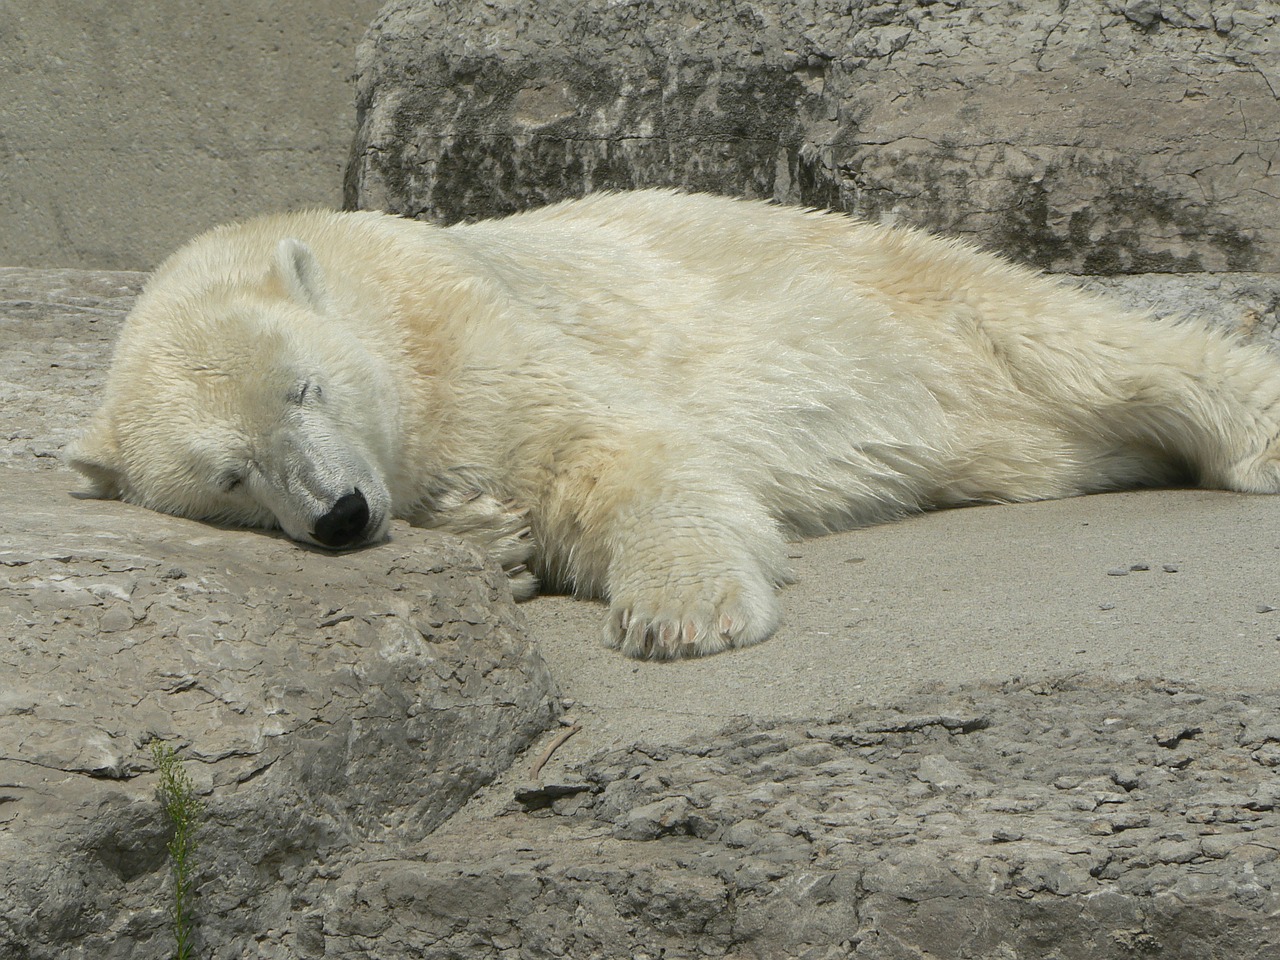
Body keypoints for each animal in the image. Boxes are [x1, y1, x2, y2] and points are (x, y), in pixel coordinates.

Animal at [67, 193, 1280, 660]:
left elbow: (614, 451)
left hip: (914, 295)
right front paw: (485, 537)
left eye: (303, 389)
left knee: (1095, 348)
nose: (341, 513)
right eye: (230, 478)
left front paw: (680, 612)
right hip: (995, 428)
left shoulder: (473, 329)